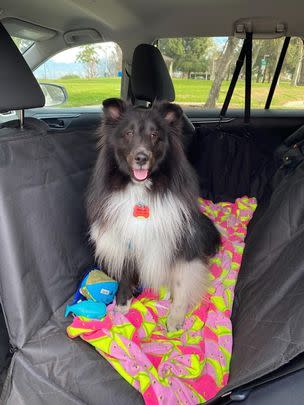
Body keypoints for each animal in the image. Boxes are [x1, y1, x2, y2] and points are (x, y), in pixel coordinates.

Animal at [86, 98, 220, 332]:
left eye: (155, 134)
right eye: (128, 133)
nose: (141, 157)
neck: (142, 192)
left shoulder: (179, 241)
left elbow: (181, 280)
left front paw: (175, 316)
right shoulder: (127, 238)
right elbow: (125, 272)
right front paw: (122, 303)